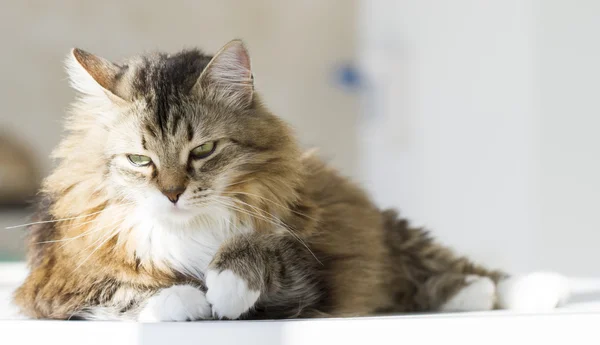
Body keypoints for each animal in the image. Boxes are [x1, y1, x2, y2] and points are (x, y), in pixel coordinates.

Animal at [11, 39, 568, 320]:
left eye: (203, 151)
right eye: (138, 159)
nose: (171, 194)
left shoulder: (304, 277)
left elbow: (257, 252)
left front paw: (223, 290)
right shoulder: (55, 285)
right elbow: (126, 289)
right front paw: (187, 300)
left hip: (388, 232)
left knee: (454, 266)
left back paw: (535, 291)